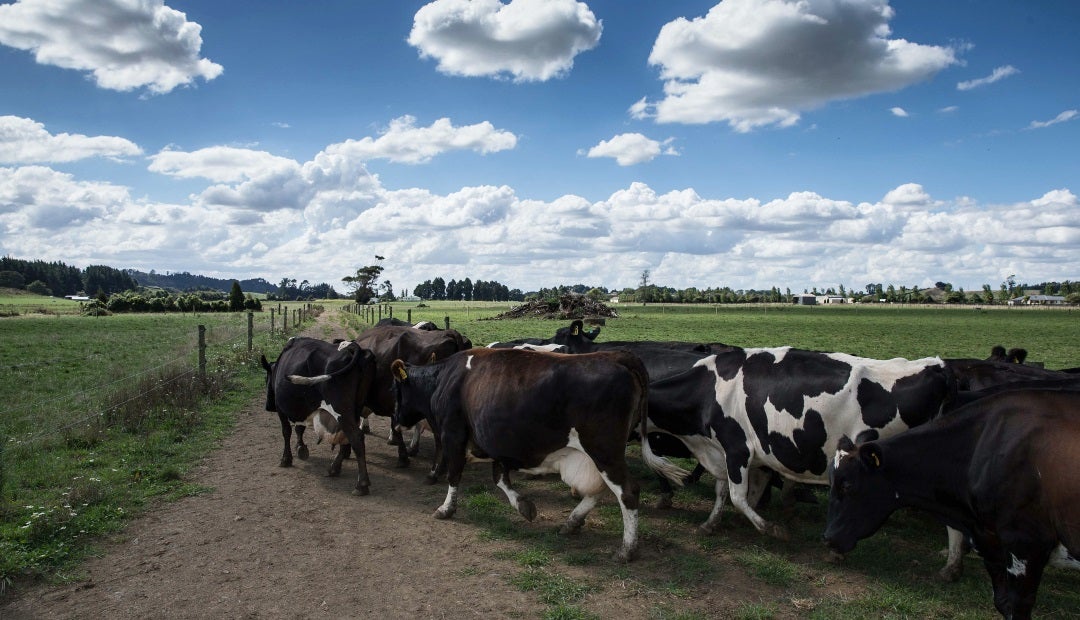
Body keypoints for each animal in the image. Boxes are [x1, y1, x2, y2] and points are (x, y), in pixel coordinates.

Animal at [260, 337, 375, 499]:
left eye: (266, 378)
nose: (268, 406)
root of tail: (353, 349)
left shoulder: (281, 408)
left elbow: (286, 431)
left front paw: (286, 459)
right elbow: (299, 428)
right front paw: (301, 448)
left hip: (341, 409)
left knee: (356, 437)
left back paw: (361, 484)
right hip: (356, 408)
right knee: (349, 437)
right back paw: (334, 469)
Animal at [390, 349, 648, 561]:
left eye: (395, 390)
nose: (396, 421)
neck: (443, 379)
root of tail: (616, 356)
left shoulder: (453, 436)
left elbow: (454, 475)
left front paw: (446, 509)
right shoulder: (496, 444)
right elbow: (499, 478)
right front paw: (524, 506)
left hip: (604, 451)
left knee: (627, 491)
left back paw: (627, 549)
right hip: (598, 457)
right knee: (599, 490)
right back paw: (572, 522)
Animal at [639, 347, 954, 542]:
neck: (707, 392)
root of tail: (936, 367)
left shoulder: (737, 447)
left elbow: (738, 497)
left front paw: (770, 528)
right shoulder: (725, 452)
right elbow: (725, 491)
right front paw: (711, 524)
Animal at [825, 391, 1080, 617]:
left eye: (847, 485)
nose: (828, 537)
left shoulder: (1026, 544)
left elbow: (1017, 606)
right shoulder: (991, 543)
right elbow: (1002, 602)